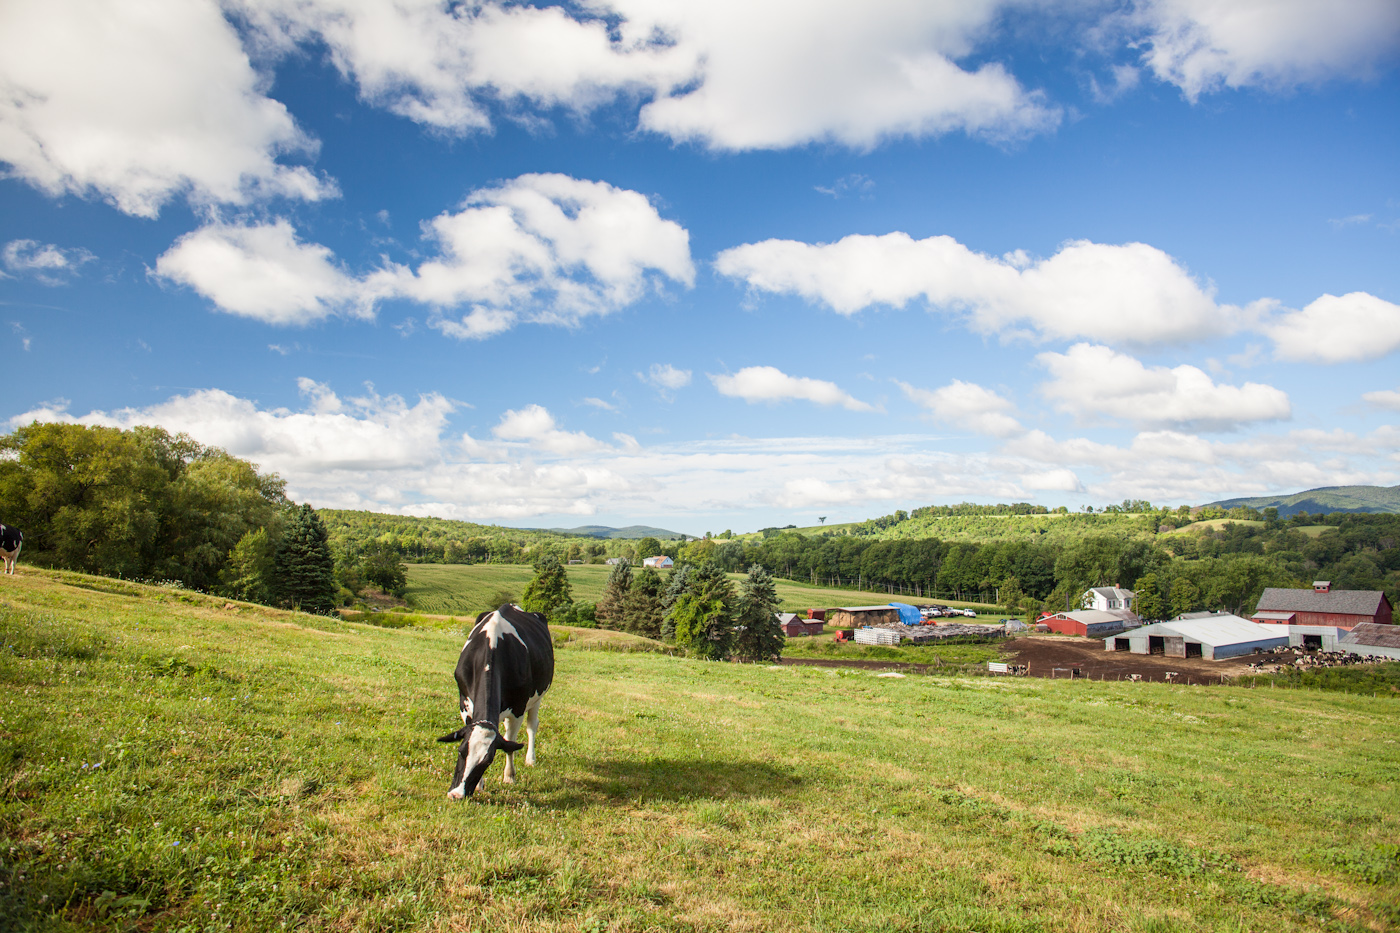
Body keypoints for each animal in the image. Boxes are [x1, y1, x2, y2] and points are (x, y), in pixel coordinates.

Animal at [436, 607, 551, 795]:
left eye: (487, 761)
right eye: (461, 751)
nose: (456, 795)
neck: (492, 648)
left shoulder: (518, 709)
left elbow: (510, 742)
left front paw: (509, 776)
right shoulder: (465, 704)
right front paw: (480, 785)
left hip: (538, 697)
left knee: (532, 726)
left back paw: (530, 759)